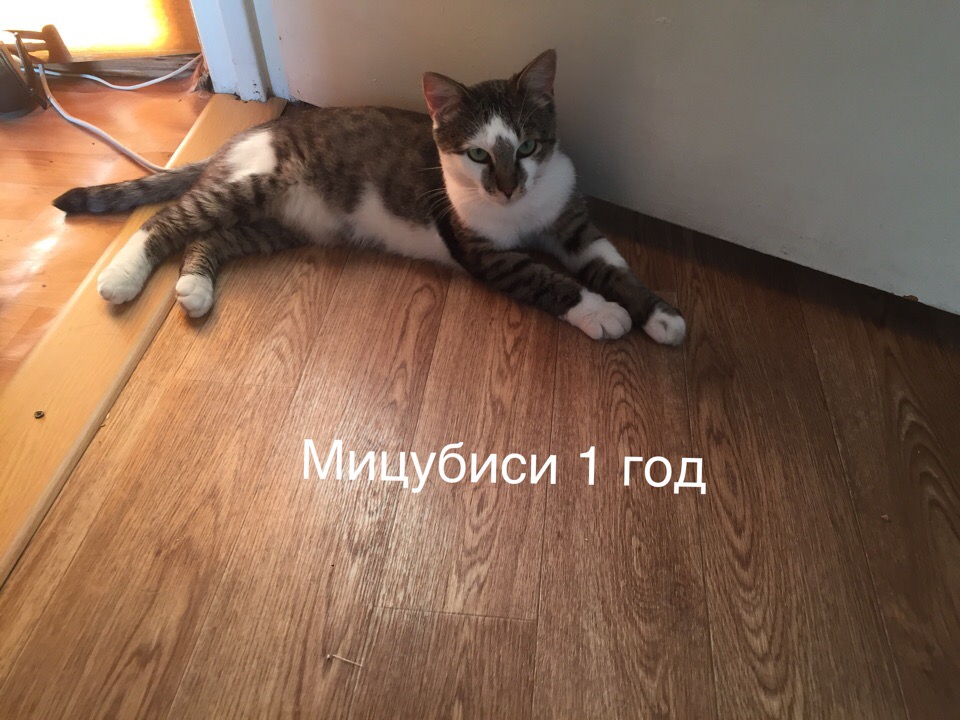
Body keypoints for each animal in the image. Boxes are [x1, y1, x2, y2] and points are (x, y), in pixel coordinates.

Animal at [53, 50, 685, 344]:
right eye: (479, 155)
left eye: (528, 145)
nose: (508, 187)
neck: (523, 209)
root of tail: (243, 137)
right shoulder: (485, 252)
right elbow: (547, 278)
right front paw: (599, 312)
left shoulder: (572, 223)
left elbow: (613, 265)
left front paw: (658, 313)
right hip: (260, 183)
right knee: (171, 219)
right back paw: (123, 276)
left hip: (280, 223)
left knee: (212, 236)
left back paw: (195, 287)